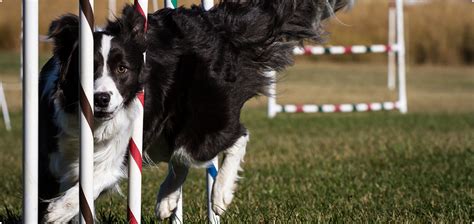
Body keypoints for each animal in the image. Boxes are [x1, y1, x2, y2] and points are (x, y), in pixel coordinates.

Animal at [39, 7, 145, 222]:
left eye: (122, 68)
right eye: (87, 68)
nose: (101, 99)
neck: (96, 126)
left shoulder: (117, 150)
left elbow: (99, 178)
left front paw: (60, 210)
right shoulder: (48, 159)